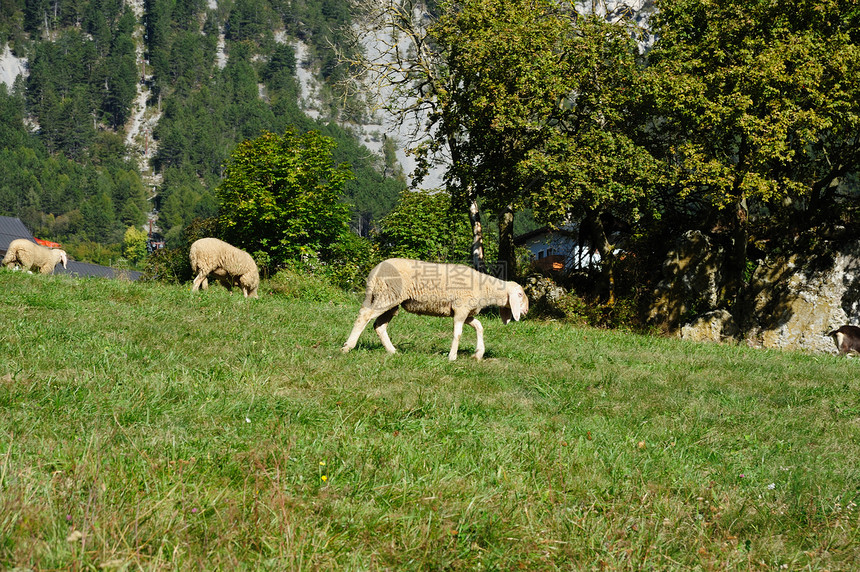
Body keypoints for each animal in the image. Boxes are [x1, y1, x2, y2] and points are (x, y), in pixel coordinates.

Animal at [342, 258, 532, 360]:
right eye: (520, 294)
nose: (525, 311)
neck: (484, 288)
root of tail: (374, 272)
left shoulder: (466, 312)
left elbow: (479, 326)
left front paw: (478, 354)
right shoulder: (461, 308)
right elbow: (458, 334)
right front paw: (452, 357)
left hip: (391, 301)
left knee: (379, 326)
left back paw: (393, 351)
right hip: (387, 296)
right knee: (364, 315)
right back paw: (347, 347)